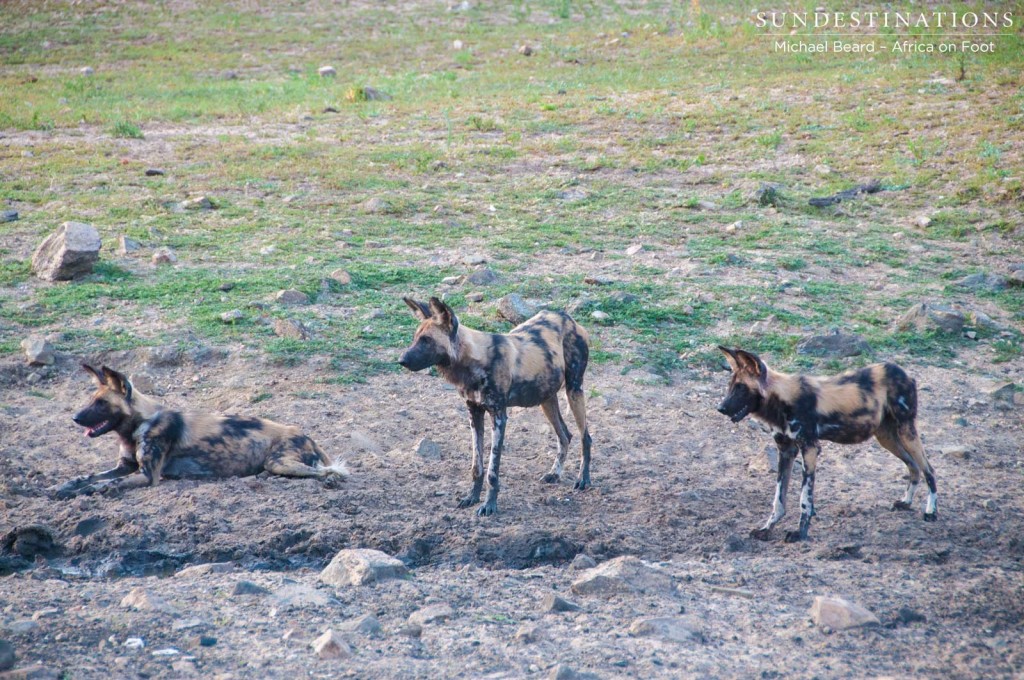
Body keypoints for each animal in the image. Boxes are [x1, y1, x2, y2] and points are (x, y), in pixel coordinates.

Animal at [55, 366, 348, 499]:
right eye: (92, 400)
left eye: (102, 403)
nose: (75, 417)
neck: (136, 426)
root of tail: (307, 435)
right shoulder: (125, 467)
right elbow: (87, 477)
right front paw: (63, 487)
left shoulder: (147, 475)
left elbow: (103, 484)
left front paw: (80, 492)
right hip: (278, 463)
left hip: (279, 462)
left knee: (328, 471)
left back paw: (330, 481)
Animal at [397, 296, 593, 516]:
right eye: (415, 338)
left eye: (427, 340)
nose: (401, 360)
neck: (473, 362)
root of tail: (565, 316)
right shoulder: (474, 413)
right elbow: (477, 467)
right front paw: (472, 498)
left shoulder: (499, 416)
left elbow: (492, 470)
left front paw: (489, 505)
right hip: (546, 399)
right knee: (565, 436)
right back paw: (555, 473)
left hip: (574, 390)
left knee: (585, 437)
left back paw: (583, 479)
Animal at [716, 346, 937, 540]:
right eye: (730, 387)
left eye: (741, 388)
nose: (720, 408)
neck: (780, 400)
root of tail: (905, 373)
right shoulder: (786, 451)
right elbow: (778, 499)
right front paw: (766, 529)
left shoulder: (810, 448)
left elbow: (804, 499)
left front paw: (800, 534)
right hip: (886, 438)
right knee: (914, 466)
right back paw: (906, 502)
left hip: (906, 432)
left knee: (929, 470)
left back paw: (931, 512)